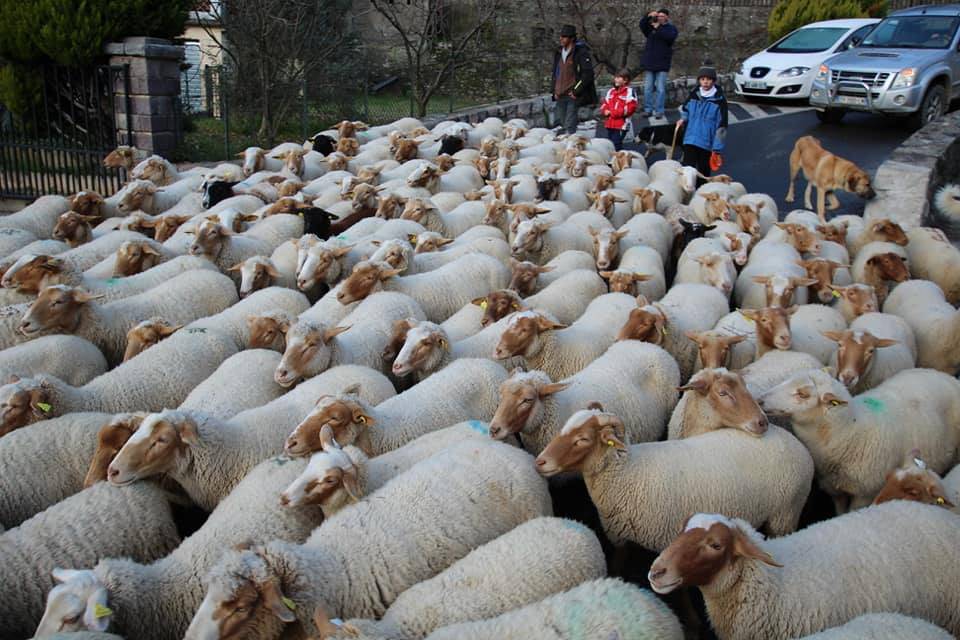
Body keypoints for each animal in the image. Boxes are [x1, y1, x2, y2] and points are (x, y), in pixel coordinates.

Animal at [760, 368, 960, 512]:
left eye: (802, 394)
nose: (760, 400)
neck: (850, 430)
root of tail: (943, 374)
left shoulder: (864, 493)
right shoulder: (835, 489)